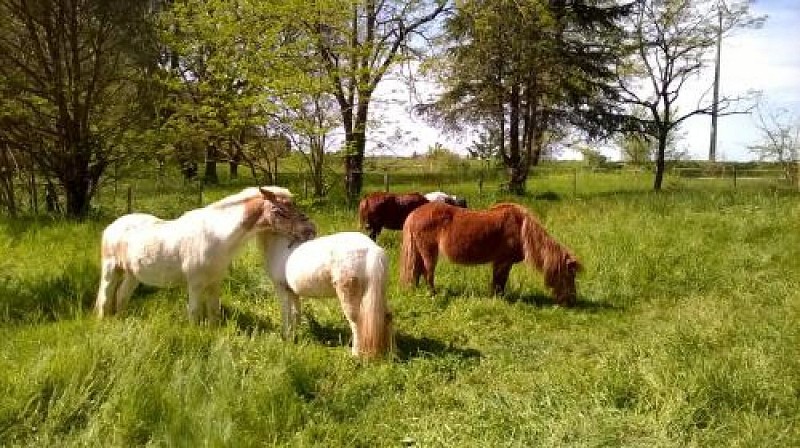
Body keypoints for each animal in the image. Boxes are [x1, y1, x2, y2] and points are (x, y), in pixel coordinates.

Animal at [96, 186, 316, 322]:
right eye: (280, 211)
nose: (310, 230)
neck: (215, 236)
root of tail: (113, 225)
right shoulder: (195, 284)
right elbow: (194, 312)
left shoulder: (214, 282)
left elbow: (214, 312)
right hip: (110, 270)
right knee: (105, 298)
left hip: (133, 275)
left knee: (121, 296)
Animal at [258, 233, 392, 358]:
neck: (279, 243)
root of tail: (372, 249)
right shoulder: (292, 291)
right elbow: (296, 312)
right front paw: (296, 334)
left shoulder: (281, 288)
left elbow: (286, 313)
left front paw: (286, 338)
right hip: (377, 294)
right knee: (386, 318)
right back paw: (388, 352)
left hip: (349, 295)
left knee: (356, 323)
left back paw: (355, 355)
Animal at [400, 201, 580, 306]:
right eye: (570, 276)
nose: (572, 301)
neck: (522, 229)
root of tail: (414, 213)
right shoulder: (503, 262)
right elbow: (499, 281)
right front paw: (498, 299)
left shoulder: (502, 262)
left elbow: (499, 281)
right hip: (429, 252)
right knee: (427, 273)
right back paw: (433, 295)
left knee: (417, 272)